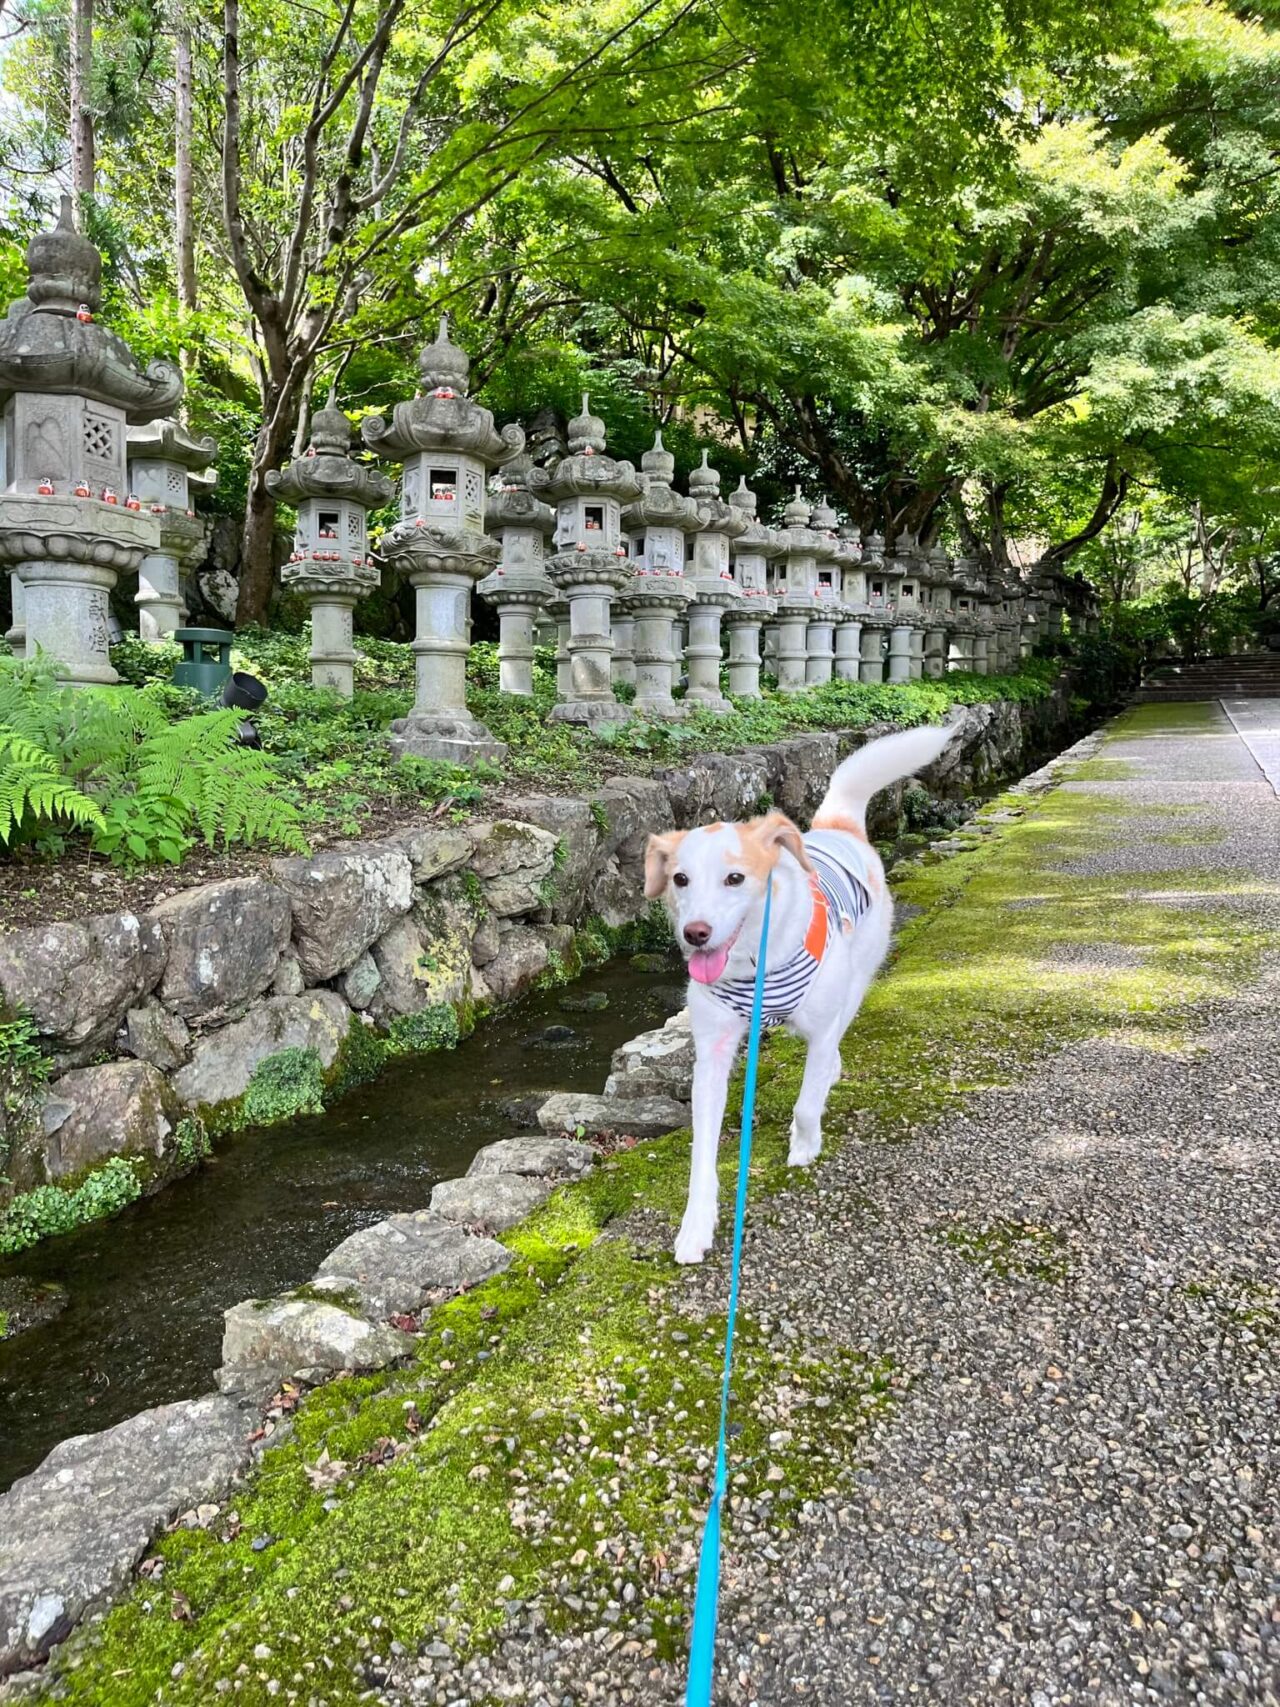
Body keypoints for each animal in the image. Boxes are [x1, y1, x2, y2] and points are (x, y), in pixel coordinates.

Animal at [645, 720, 955, 1270]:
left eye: (735, 878)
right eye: (680, 879)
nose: (695, 934)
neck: (756, 962)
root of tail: (837, 826)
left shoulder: (823, 1023)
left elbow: (808, 1103)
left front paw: (804, 1145)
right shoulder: (712, 1053)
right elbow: (702, 1152)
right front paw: (696, 1225)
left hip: (857, 977)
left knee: (835, 1040)